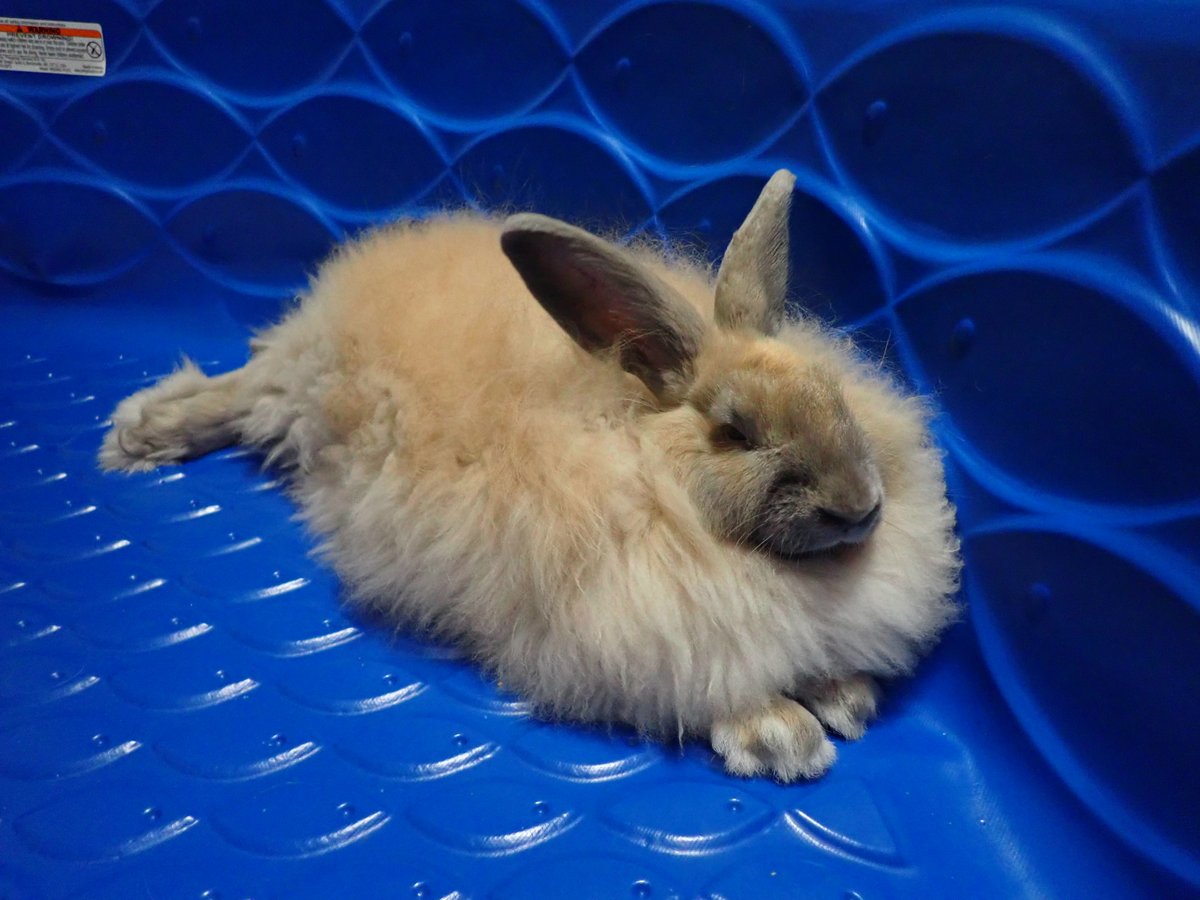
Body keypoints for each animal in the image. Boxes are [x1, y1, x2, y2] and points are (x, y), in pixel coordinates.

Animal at [99, 170, 960, 781]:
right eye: (734, 431)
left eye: (832, 392)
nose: (861, 506)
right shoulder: (637, 634)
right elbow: (718, 687)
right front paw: (785, 738)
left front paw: (846, 695)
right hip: (294, 391)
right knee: (237, 391)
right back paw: (139, 435)